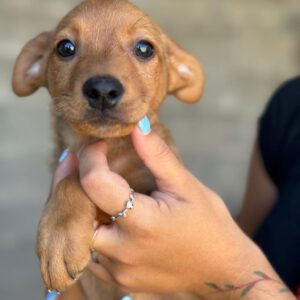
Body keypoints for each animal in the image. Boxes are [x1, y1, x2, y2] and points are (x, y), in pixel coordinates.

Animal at [11, 0, 204, 298]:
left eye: (144, 48)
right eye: (65, 47)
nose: (102, 90)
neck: (107, 149)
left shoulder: (149, 188)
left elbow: (75, 180)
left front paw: (58, 238)